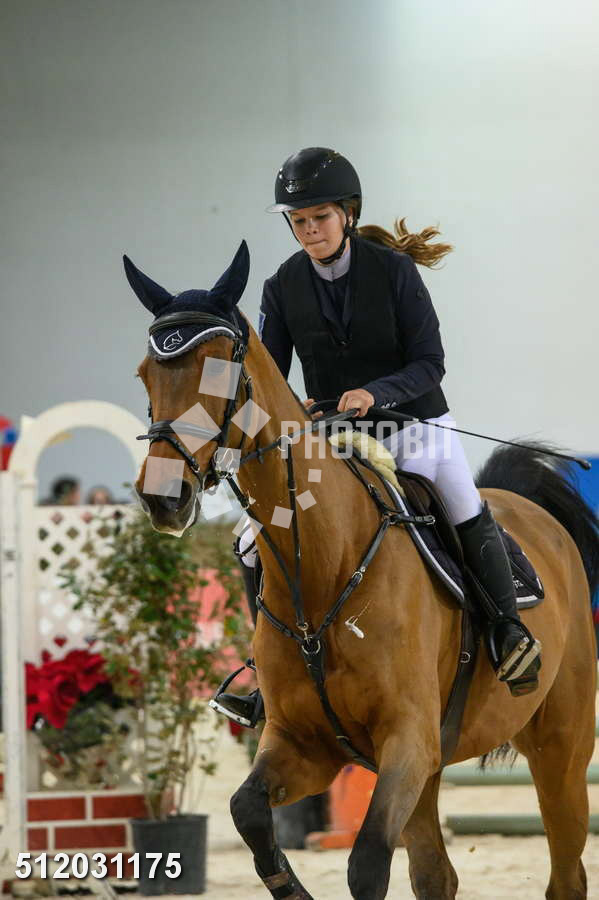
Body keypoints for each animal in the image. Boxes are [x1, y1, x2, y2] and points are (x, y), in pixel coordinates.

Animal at [126, 242, 599, 899]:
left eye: (218, 371)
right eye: (145, 374)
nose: (164, 499)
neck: (328, 567)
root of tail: (531, 510)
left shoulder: (407, 741)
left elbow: (368, 861)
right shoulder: (307, 745)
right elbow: (248, 813)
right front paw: (291, 887)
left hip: (559, 748)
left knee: (565, 868)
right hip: (436, 766)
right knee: (436, 875)